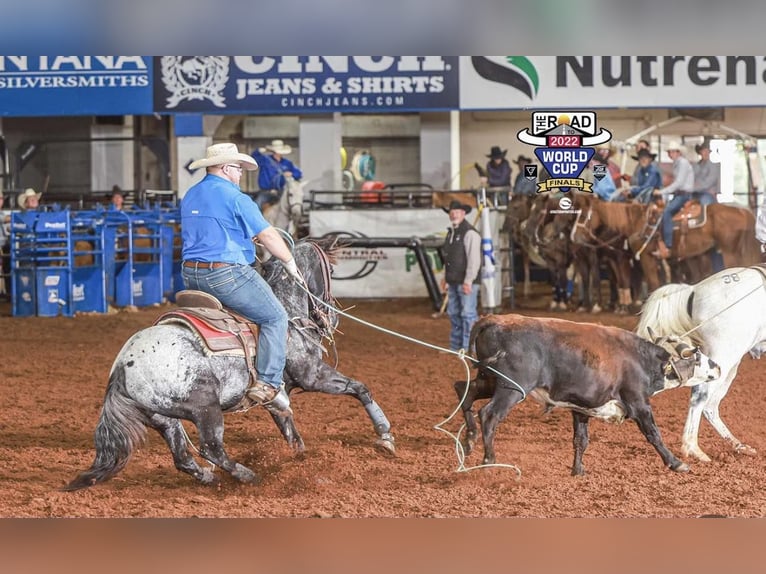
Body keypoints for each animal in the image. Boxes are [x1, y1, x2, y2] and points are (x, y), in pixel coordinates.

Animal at [636, 266, 766, 464]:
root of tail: (694, 289)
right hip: (723, 358)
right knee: (699, 396)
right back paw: (693, 448)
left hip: (728, 365)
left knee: (709, 406)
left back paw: (739, 446)